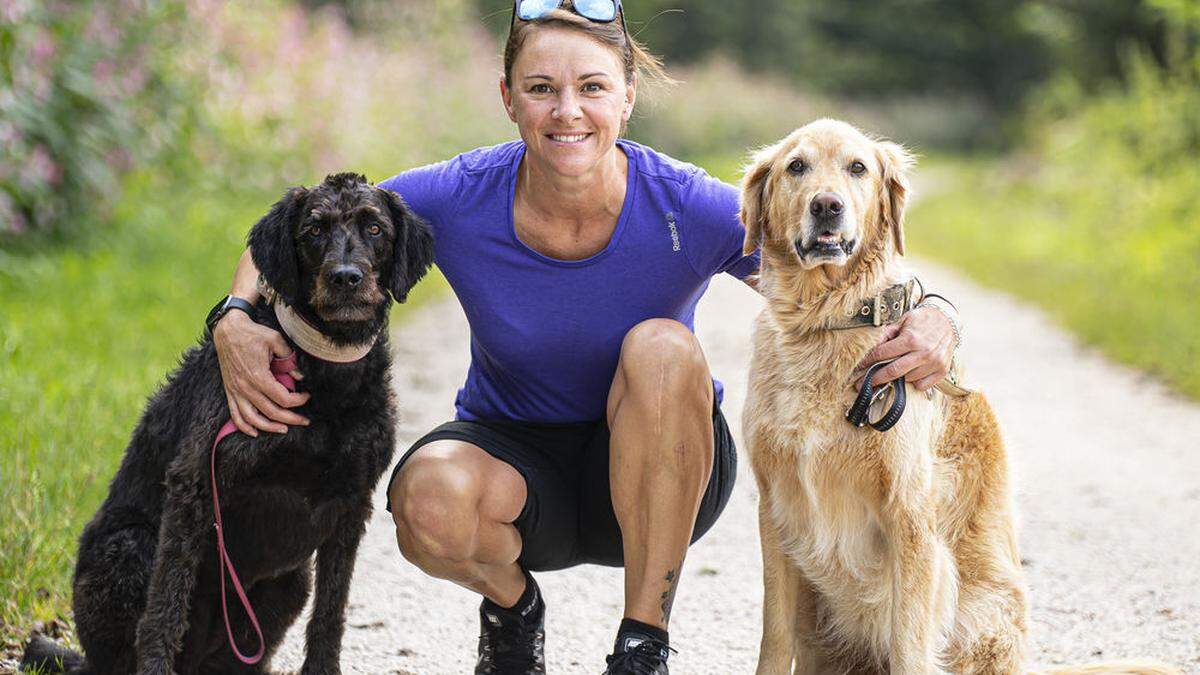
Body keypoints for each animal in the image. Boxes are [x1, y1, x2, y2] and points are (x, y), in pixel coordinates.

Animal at [23, 172, 434, 672]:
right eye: (314, 230)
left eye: (375, 228)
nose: (345, 278)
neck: (324, 371)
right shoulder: (196, 483)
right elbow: (164, 608)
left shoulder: (351, 504)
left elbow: (331, 613)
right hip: (127, 550)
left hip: (289, 583)